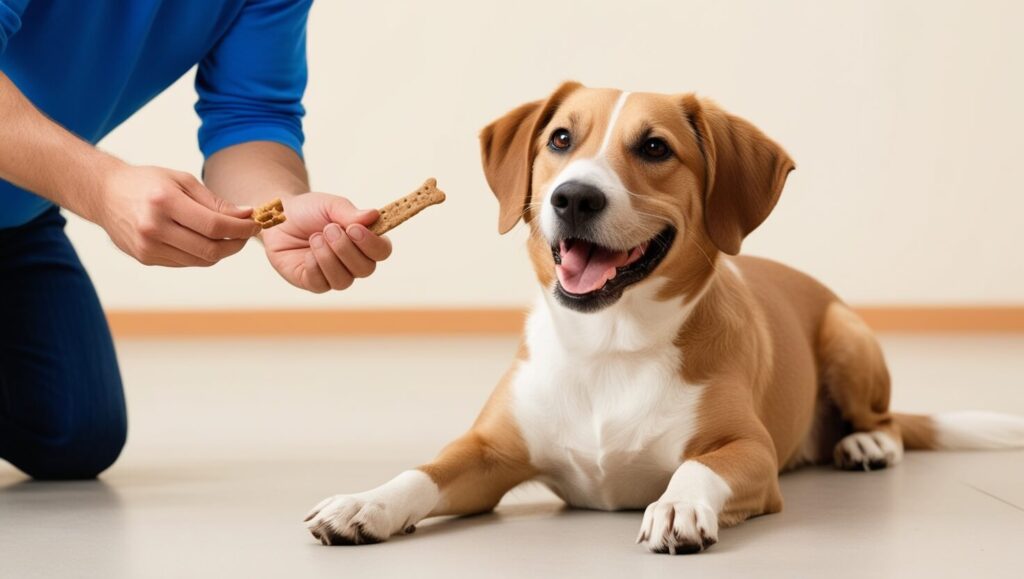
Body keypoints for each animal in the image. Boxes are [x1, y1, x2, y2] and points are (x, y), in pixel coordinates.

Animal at [303, 83, 1024, 553]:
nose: (574, 197)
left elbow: (696, 467)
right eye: (560, 138)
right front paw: (366, 501)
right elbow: (423, 471)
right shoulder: (489, 452)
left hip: (848, 336)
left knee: (888, 421)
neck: (608, 345)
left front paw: (677, 505)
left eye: (654, 147)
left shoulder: (751, 450)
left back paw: (867, 443)